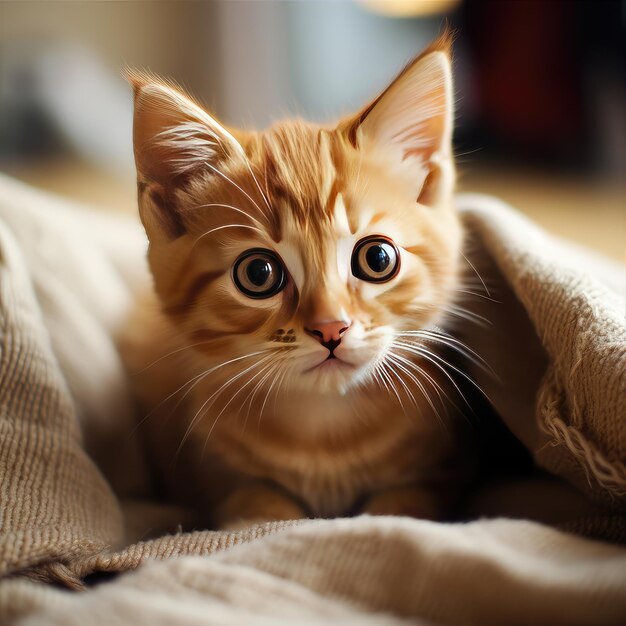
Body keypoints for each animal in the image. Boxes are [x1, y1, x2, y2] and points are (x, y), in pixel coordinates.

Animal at [124, 35, 470, 528]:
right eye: (258, 273)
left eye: (378, 258)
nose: (331, 328)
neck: (325, 439)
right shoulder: (217, 476)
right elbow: (260, 510)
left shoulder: (441, 472)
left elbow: (404, 506)